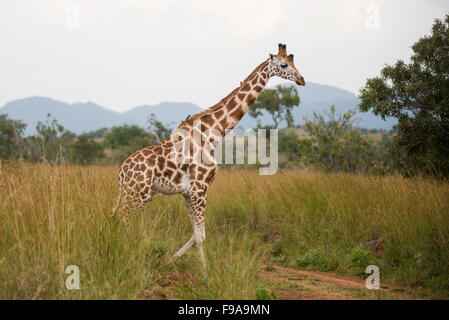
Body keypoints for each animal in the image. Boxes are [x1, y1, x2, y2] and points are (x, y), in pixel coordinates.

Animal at [113, 43, 304, 274]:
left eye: (294, 61)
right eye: (284, 64)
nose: (302, 79)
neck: (213, 132)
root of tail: (122, 170)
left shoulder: (189, 193)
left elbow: (196, 234)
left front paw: (171, 258)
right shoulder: (200, 189)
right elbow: (201, 236)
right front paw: (206, 273)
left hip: (138, 193)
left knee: (119, 219)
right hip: (138, 193)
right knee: (124, 221)